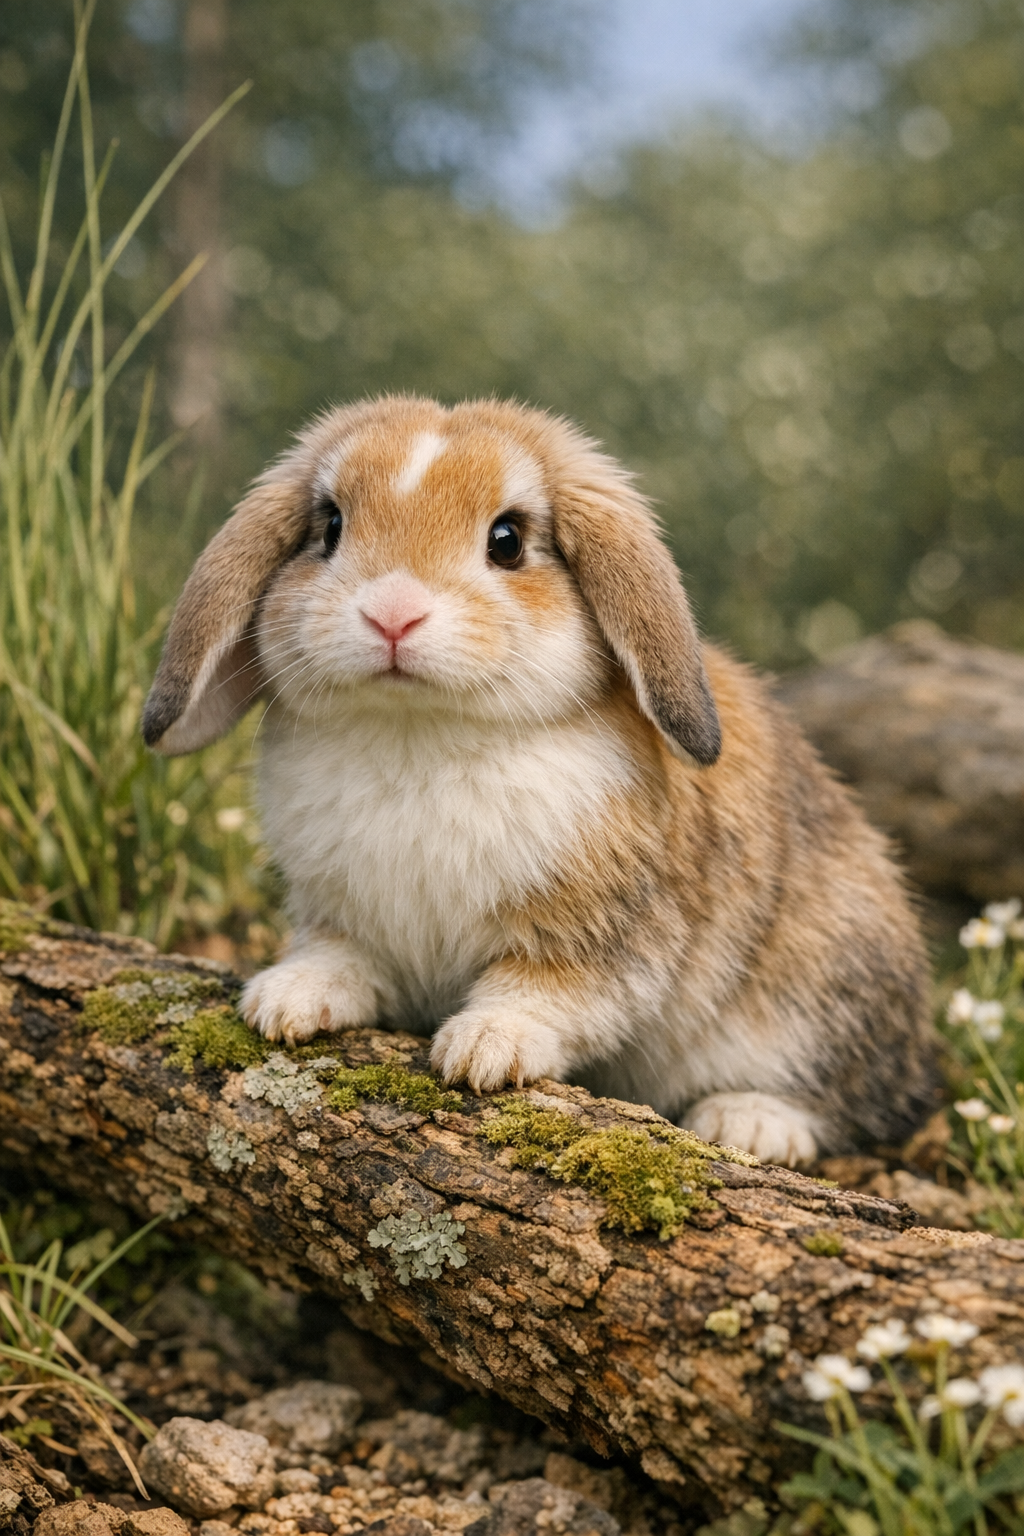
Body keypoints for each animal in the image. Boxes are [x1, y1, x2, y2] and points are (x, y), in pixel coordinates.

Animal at [143, 394, 937, 1167]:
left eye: (508, 540)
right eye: (330, 525)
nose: (392, 613)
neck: (419, 733)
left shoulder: (595, 936)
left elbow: (548, 997)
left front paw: (485, 1050)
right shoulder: (342, 915)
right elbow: (341, 959)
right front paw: (285, 1003)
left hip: (817, 993)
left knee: (847, 1098)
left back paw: (749, 1122)